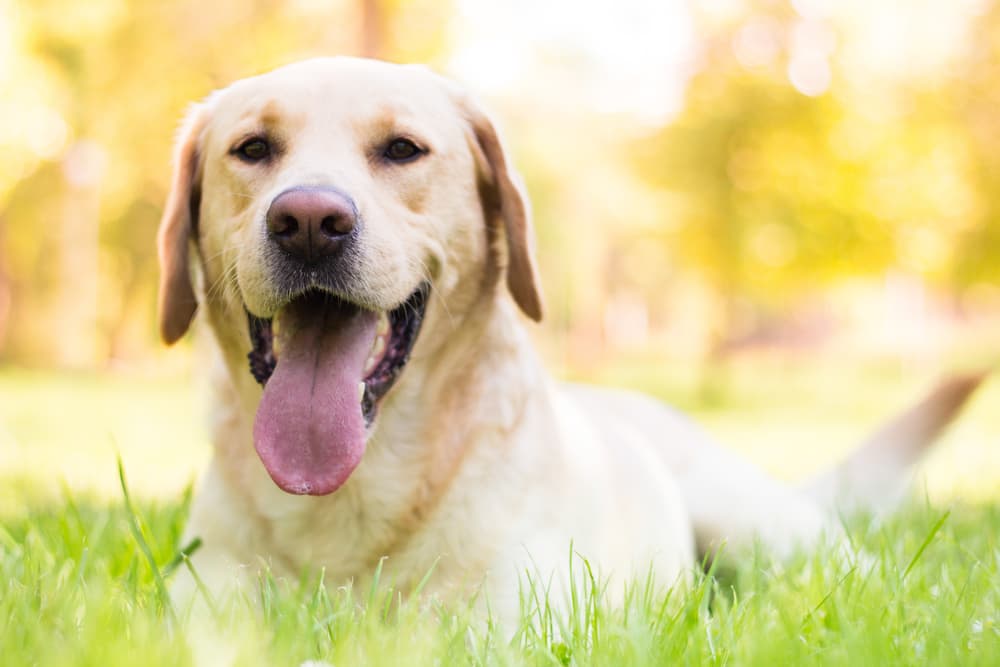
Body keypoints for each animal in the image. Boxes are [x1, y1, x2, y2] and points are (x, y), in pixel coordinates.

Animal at [160, 57, 988, 620]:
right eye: (253, 149)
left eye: (401, 149)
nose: (308, 220)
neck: (351, 494)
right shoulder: (207, 605)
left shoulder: (502, 622)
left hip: (761, 525)